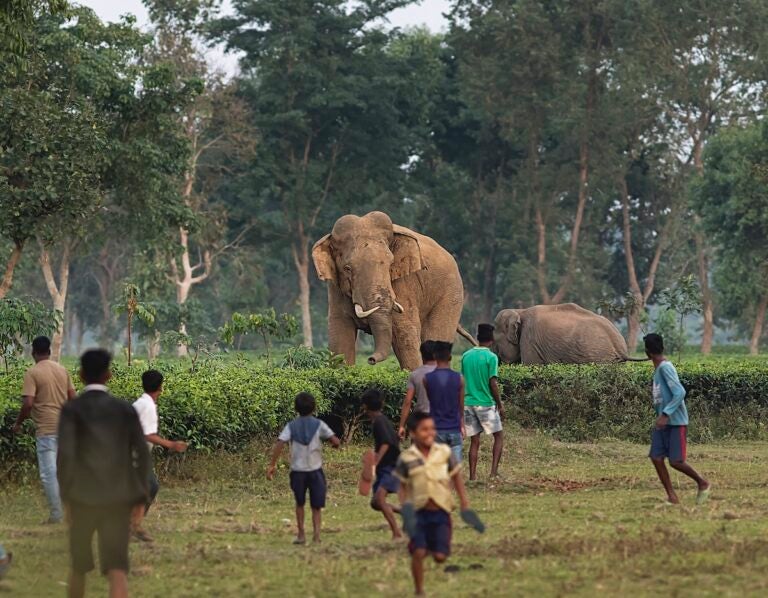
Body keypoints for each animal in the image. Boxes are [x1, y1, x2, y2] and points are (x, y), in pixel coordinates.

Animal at [312, 211, 474, 370]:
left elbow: (404, 334)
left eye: (390, 264)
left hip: (451, 293)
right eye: (347, 268)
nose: (370, 359)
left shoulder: (403, 283)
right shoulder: (335, 289)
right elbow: (340, 339)